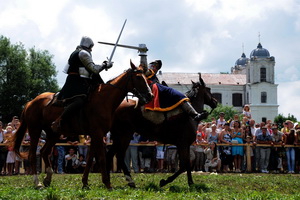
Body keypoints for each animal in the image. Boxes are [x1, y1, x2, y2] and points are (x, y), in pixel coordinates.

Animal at [12, 62, 152, 189]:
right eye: (139, 78)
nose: (150, 96)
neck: (104, 99)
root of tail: (31, 102)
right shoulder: (98, 133)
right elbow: (101, 158)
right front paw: (107, 183)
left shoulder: (96, 135)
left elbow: (90, 159)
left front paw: (85, 183)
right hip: (35, 130)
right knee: (32, 155)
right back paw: (38, 183)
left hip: (53, 134)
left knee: (44, 152)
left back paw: (47, 178)